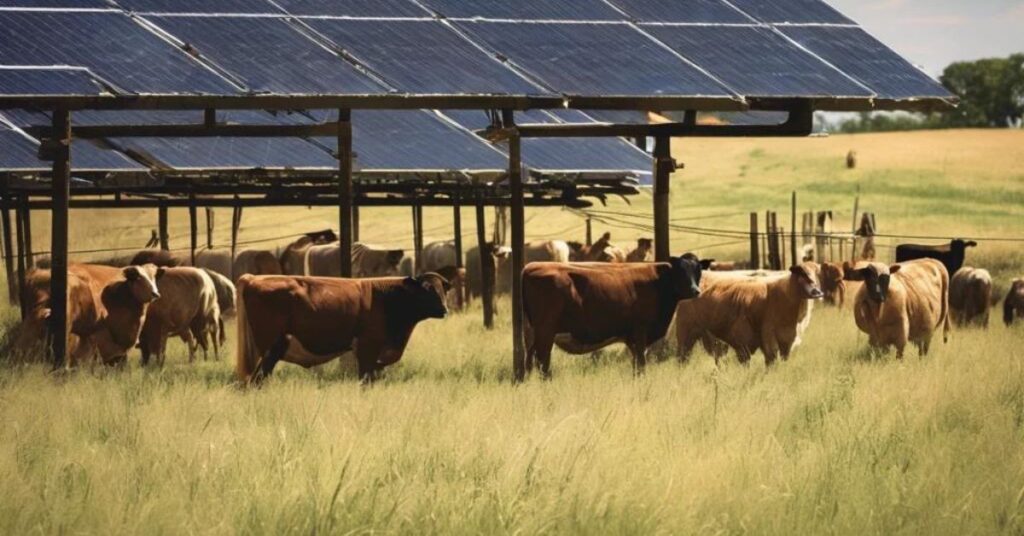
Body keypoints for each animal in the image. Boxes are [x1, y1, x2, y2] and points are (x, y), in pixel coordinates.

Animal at [239, 274, 452, 383]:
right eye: (427, 288)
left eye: (443, 289)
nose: (444, 309)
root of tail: (254, 278)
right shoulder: (367, 348)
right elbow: (365, 380)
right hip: (269, 348)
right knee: (257, 379)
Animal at [524, 255, 708, 377]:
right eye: (681, 271)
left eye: (698, 270)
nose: (695, 291)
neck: (659, 282)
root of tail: (530, 267)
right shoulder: (641, 331)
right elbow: (641, 363)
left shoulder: (632, 338)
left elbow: (636, 364)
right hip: (546, 331)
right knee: (543, 361)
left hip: (535, 334)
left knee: (531, 360)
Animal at [675, 262, 827, 366]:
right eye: (802, 274)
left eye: (817, 274)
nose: (816, 292)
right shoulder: (767, 338)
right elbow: (771, 361)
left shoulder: (787, 340)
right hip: (685, 333)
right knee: (682, 358)